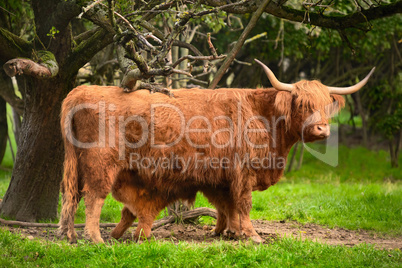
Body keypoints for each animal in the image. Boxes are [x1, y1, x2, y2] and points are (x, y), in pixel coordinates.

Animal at [57, 60, 374, 243]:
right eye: (303, 105)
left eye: (324, 106)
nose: (322, 130)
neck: (265, 118)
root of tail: (80, 91)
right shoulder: (243, 171)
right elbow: (243, 204)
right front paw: (251, 236)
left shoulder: (221, 175)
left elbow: (226, 205)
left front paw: (226, 232)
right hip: (101, 163)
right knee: (94, 197)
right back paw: (95, 239)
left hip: (77, 163)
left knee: (72, 195)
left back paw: (70, 235)